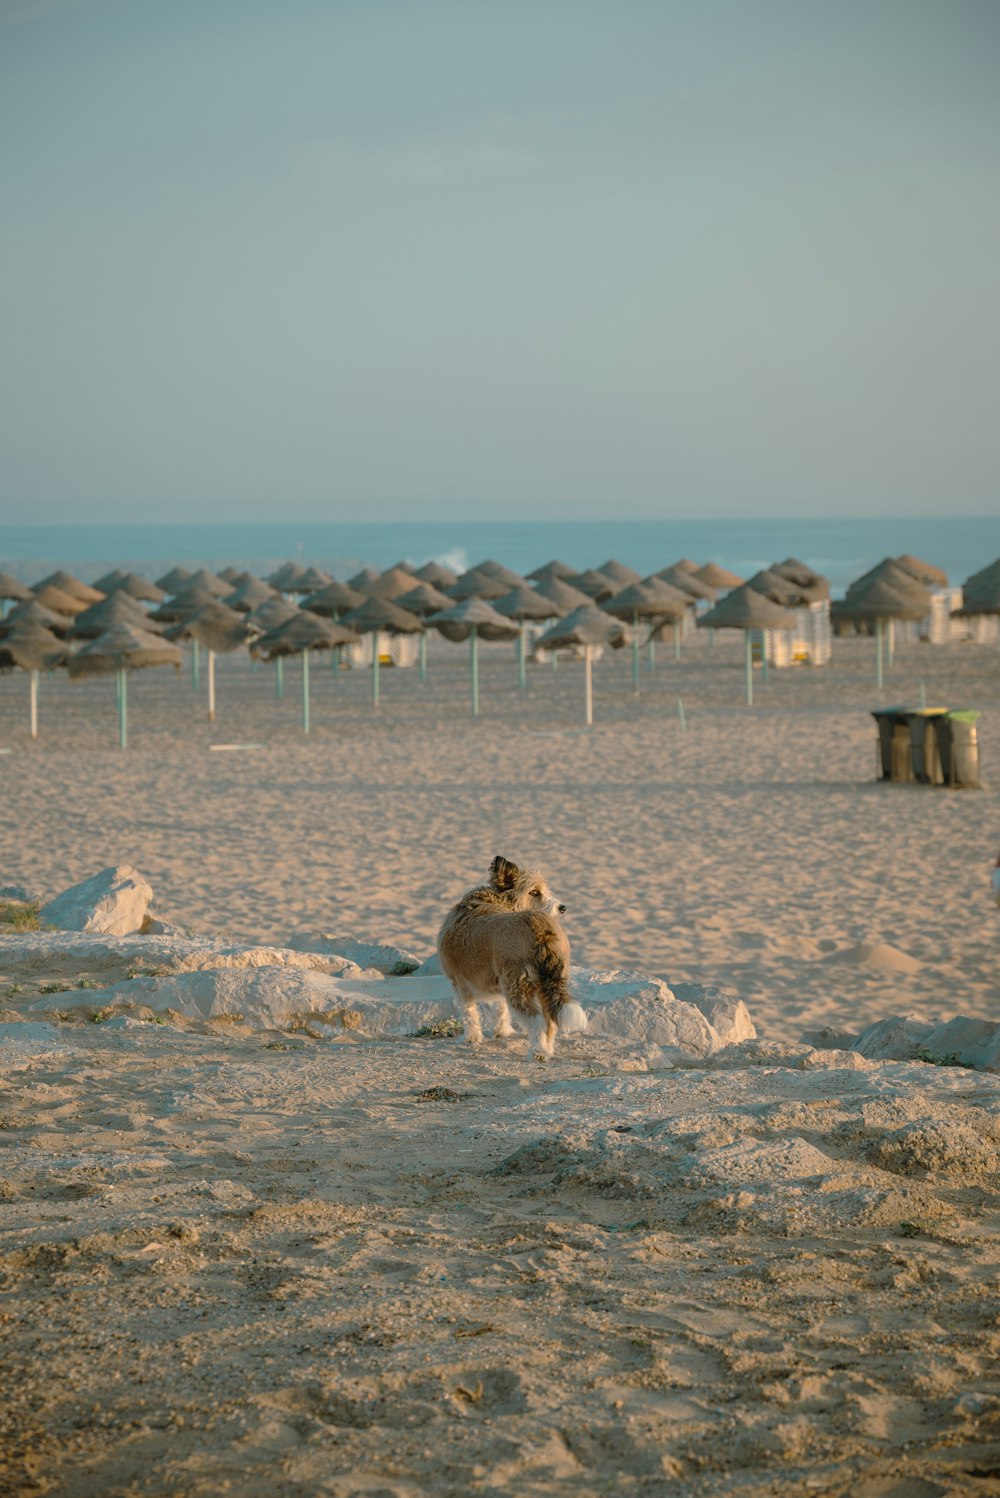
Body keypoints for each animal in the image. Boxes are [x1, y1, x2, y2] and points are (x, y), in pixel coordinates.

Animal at [434, 856, 586, 1066]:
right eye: (534, 892)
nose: (562, 908)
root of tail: (540, 928)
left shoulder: (460, 984)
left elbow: (469, 1013)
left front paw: (471, 1038)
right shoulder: (498, 983)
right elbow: (501, 1009)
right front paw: (502, 1032)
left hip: (518, 987)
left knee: (537, 1021)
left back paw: (537, 1052)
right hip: (545, 984)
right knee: (550, 1020)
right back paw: (546, 1050)